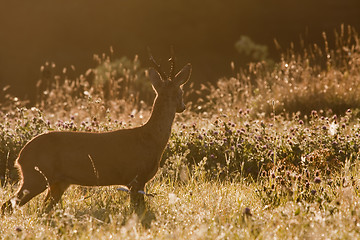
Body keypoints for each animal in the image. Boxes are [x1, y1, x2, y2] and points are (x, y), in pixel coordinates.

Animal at [1, 50, 193, 214]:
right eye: (181, 91)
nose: (183, 107)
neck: (151, 137)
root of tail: (20, 157)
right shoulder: (136, 179)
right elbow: (139, 211)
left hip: (58, 182)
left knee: (42, 208)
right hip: (36, 177)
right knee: (9, 205)